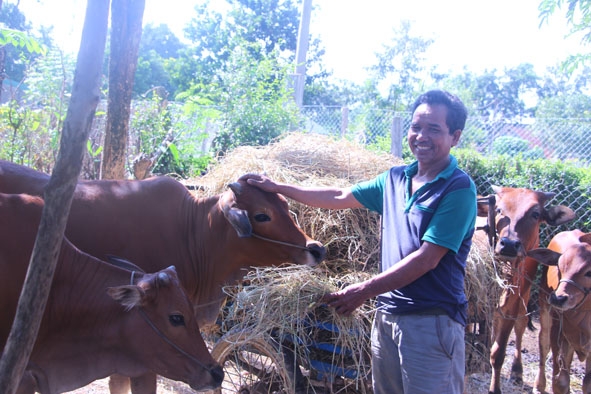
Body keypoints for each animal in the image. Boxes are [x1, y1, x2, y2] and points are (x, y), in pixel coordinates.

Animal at [476, 185, 580, 394]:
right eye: (498, 209)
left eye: (535, 214)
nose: (508, 244)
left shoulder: (513, 304)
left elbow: (499, 353)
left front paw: (495, 388)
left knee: (521, 325)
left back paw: (516, 371)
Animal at [528, 229, 591, 394]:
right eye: (559, 267)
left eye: (589, 272)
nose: (558, 298)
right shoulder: (558, 331)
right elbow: (560, 381)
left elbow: (588, 383)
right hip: (545, 312)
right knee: (543, 345)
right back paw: (539, 385)